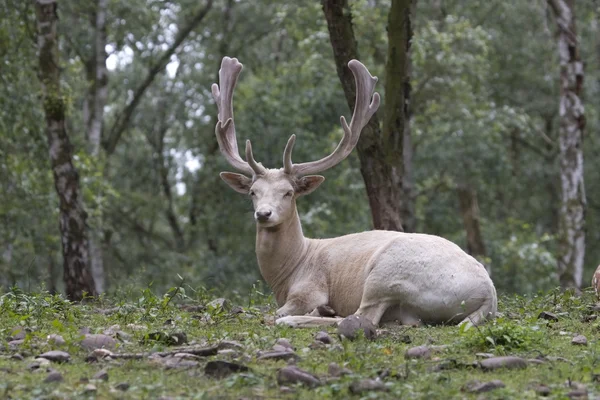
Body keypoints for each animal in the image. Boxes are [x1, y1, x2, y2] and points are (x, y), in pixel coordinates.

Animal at [212, 56, 496, 326]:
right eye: (253, 192)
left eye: (288, 192)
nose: (263, 214)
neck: (291, 270)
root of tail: (490, 296)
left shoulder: (309, 289)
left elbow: (275, 311)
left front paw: (304, 312)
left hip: (386, 273)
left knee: (360, 317)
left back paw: (301, 318)